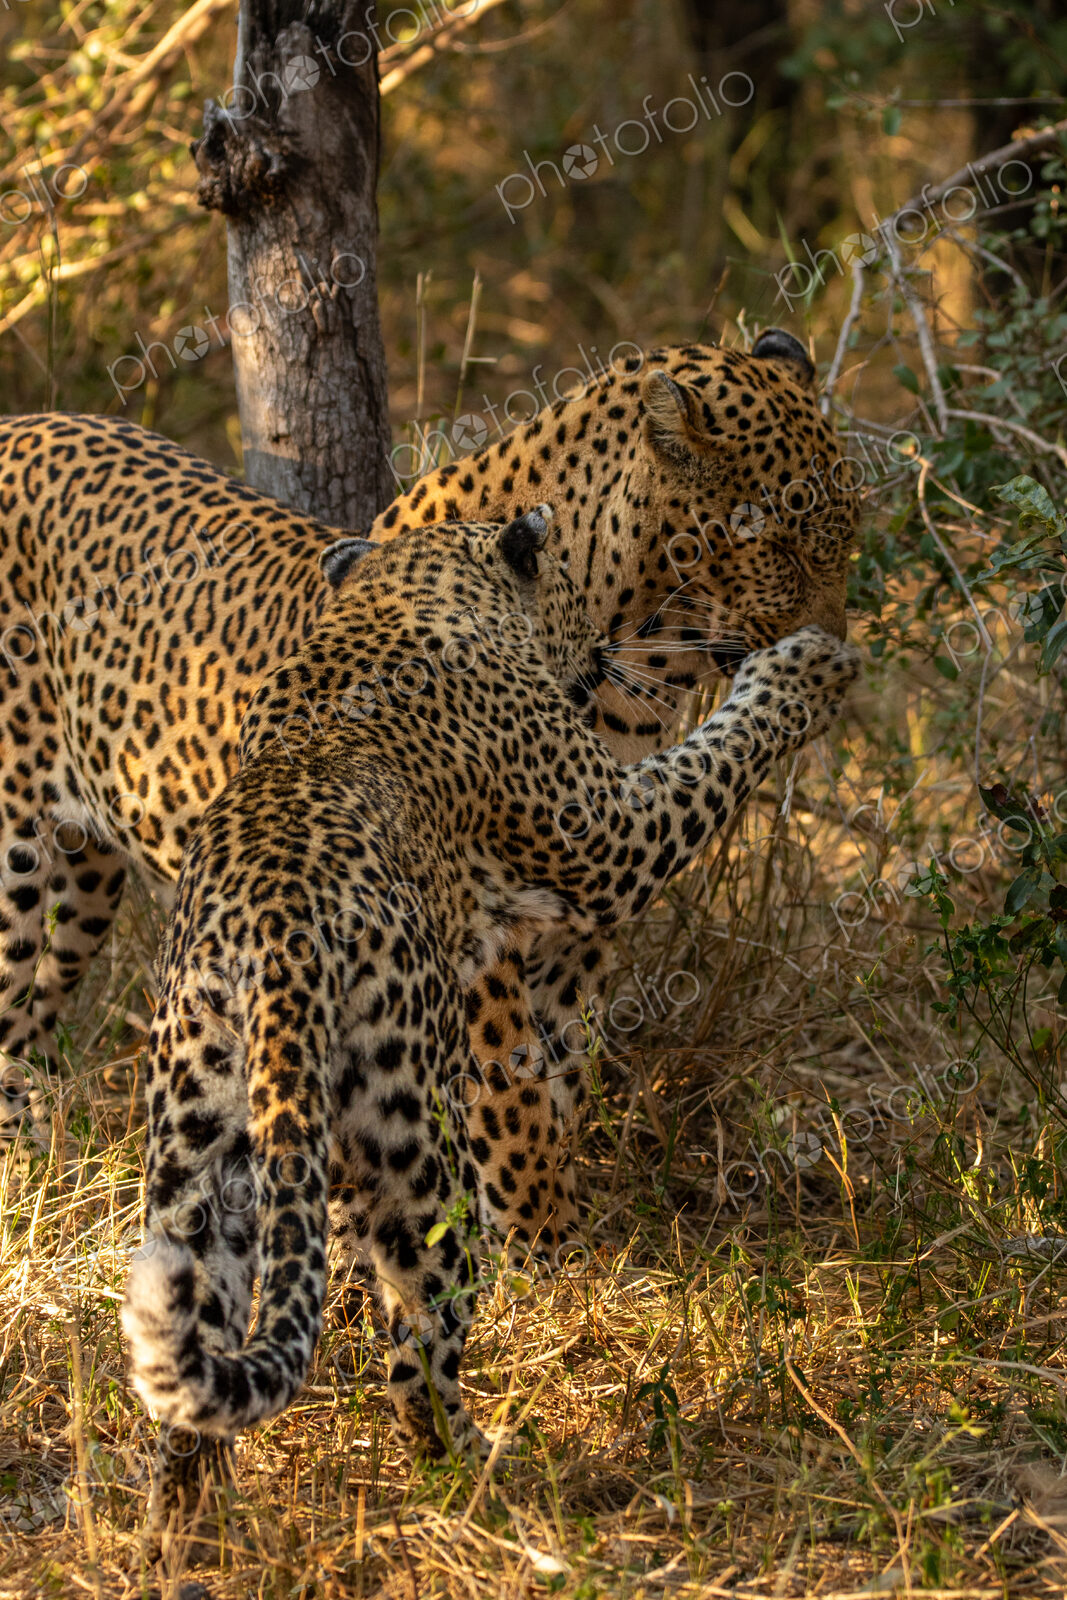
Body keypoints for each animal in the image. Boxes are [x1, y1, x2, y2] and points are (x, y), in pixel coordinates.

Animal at [0, 327, 860, 1239]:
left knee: (29, 1015)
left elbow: (559, 1074)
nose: (838, 635)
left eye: (845, 541)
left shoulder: (575, 930)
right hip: (16, 860)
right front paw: (539, 1246)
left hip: (86, 880)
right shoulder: (519, 907)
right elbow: (511, 1096)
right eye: (780, 548)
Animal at [121, 506, 858, 1553]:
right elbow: (712, 755)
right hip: (413, 1147)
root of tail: (276, 941)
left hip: (192, 1144)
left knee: (190, 1369)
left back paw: (188, 1532)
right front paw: (804, 668)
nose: (602, 650)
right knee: (417, 1357)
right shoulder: (607, 831)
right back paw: (487, 1473)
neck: (403, 588)